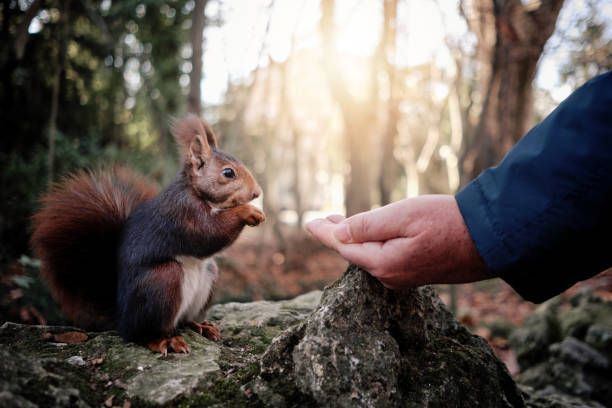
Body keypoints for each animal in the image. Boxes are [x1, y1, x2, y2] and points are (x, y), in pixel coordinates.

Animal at [31, 115, 264, 354]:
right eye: (228, 173)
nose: (257, 192)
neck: (196, 192)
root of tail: (122, 319)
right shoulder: (183, 213)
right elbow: (208, 233)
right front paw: (248, 211)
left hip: (208, 275)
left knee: (183, 320)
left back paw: (200, 325)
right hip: (163, 282)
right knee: (142, 333)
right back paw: (164, 341)